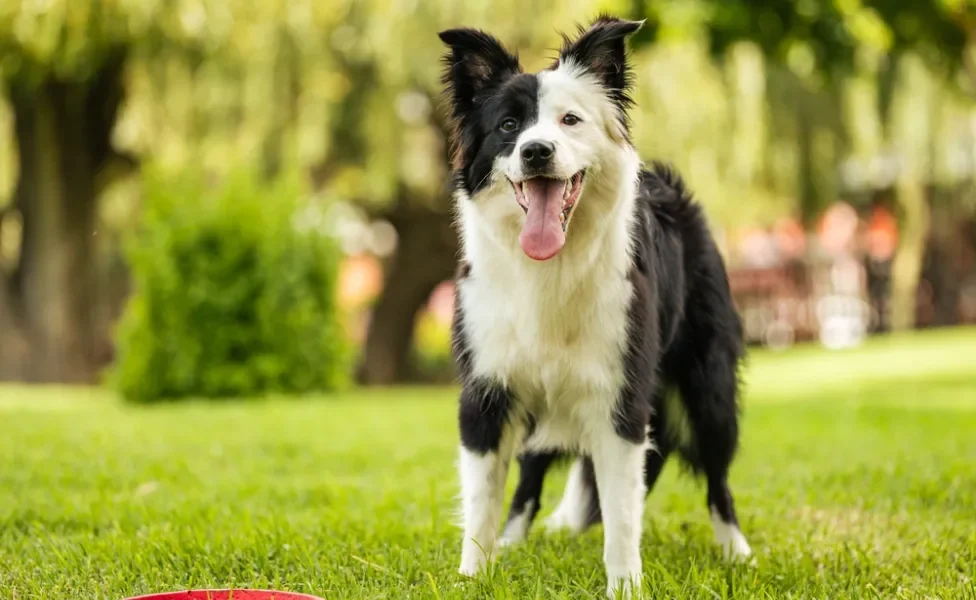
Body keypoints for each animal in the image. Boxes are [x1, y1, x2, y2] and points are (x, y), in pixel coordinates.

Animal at [438, 15, 752, 600]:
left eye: (571, 120)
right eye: (509, 126)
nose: (537, 151)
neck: (548, 269)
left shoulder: (620, 399)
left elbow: (622, 512)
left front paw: (625, 585)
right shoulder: (488, 391)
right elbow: (482, 500)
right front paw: (474, 576)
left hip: (709, 385)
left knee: (718, 475)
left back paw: (735, 550)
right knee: (529, 477)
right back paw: (515, 541)